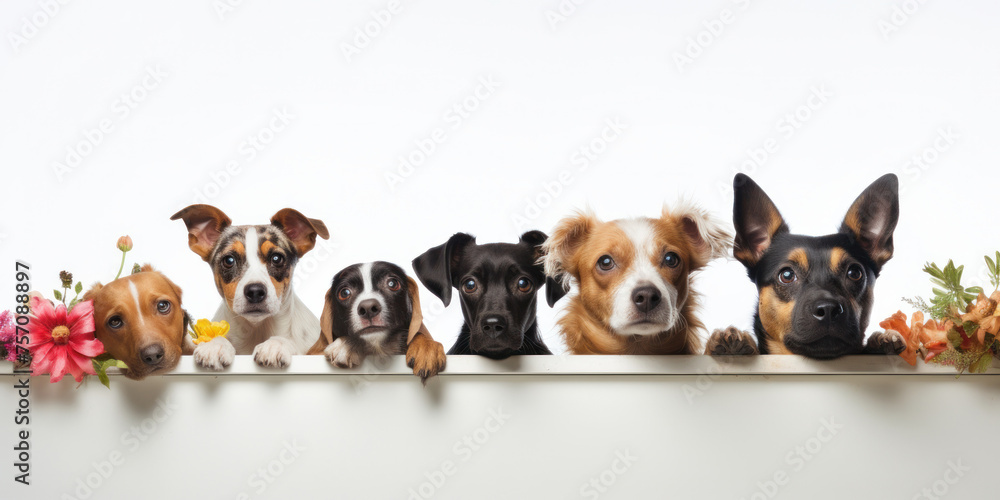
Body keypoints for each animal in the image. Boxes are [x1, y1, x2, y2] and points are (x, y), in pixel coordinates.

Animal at [170, 204, 330, 372]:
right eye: (229, 260)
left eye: (277, 258)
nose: (255, 291)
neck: (257, 330)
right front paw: (215, 345)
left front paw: (275, 345)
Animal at [304, 260, 446, 380]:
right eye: (344, 293)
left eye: (392, 283)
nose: (368, 308)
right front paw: (346, 345)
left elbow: (419, 334)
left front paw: (426, 347)